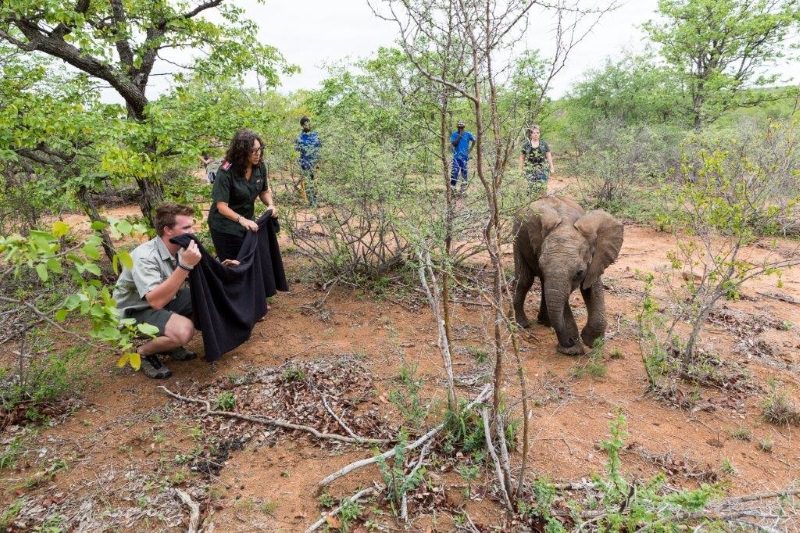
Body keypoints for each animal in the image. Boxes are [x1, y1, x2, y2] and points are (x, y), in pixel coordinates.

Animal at [512, 195, 624, 354]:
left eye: (579, 272)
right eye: (541, 265)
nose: (570, 341)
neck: (566, 224)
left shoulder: (596, 258)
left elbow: (592, 288)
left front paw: (592, 342)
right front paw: (573, 350)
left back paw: (545, 323)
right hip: (516, 236)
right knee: (524, 280)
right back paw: (523, 324)